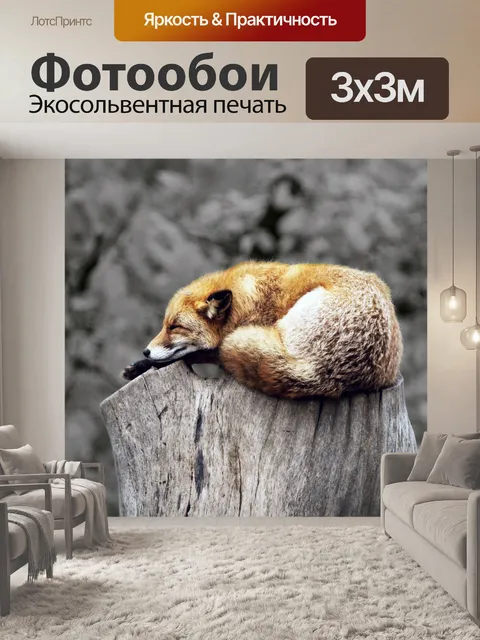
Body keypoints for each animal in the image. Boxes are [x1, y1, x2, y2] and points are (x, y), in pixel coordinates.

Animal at [123, 261, 403, 399]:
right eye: (164, 325)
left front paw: (143, 365)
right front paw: (139, 365)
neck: (248, 299)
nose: (146, 351)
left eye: (175, 327)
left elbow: (198, 354)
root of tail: (324, 374)